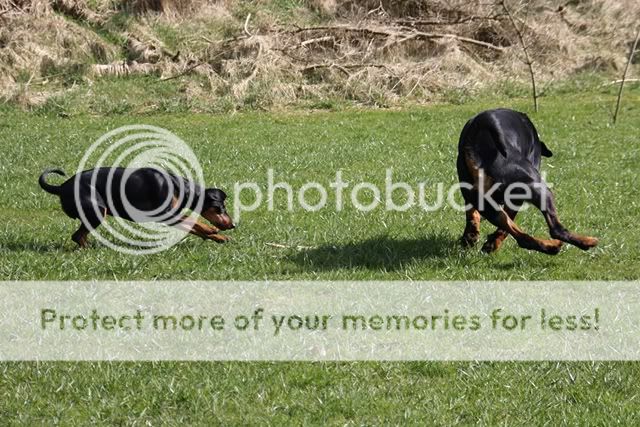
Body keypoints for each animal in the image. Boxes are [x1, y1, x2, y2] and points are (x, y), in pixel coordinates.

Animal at [37, 166, 234, 247]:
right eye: (221, 206)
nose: (233, 225)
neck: (179, 187)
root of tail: (61, 187)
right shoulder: (167, 214)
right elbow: (195, 222)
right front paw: (212, 230)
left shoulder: (171, 217)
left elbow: (194, 228)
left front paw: (220, 238)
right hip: (98, 210)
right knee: (77, 236)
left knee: (78, 236)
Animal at [458, 108, 596, 256]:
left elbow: (474, 216)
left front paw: (472, 237)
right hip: (538, 188)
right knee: (555, 230)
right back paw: (585, 242)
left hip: (485, 200)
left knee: (521, 238)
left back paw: (550, 247)